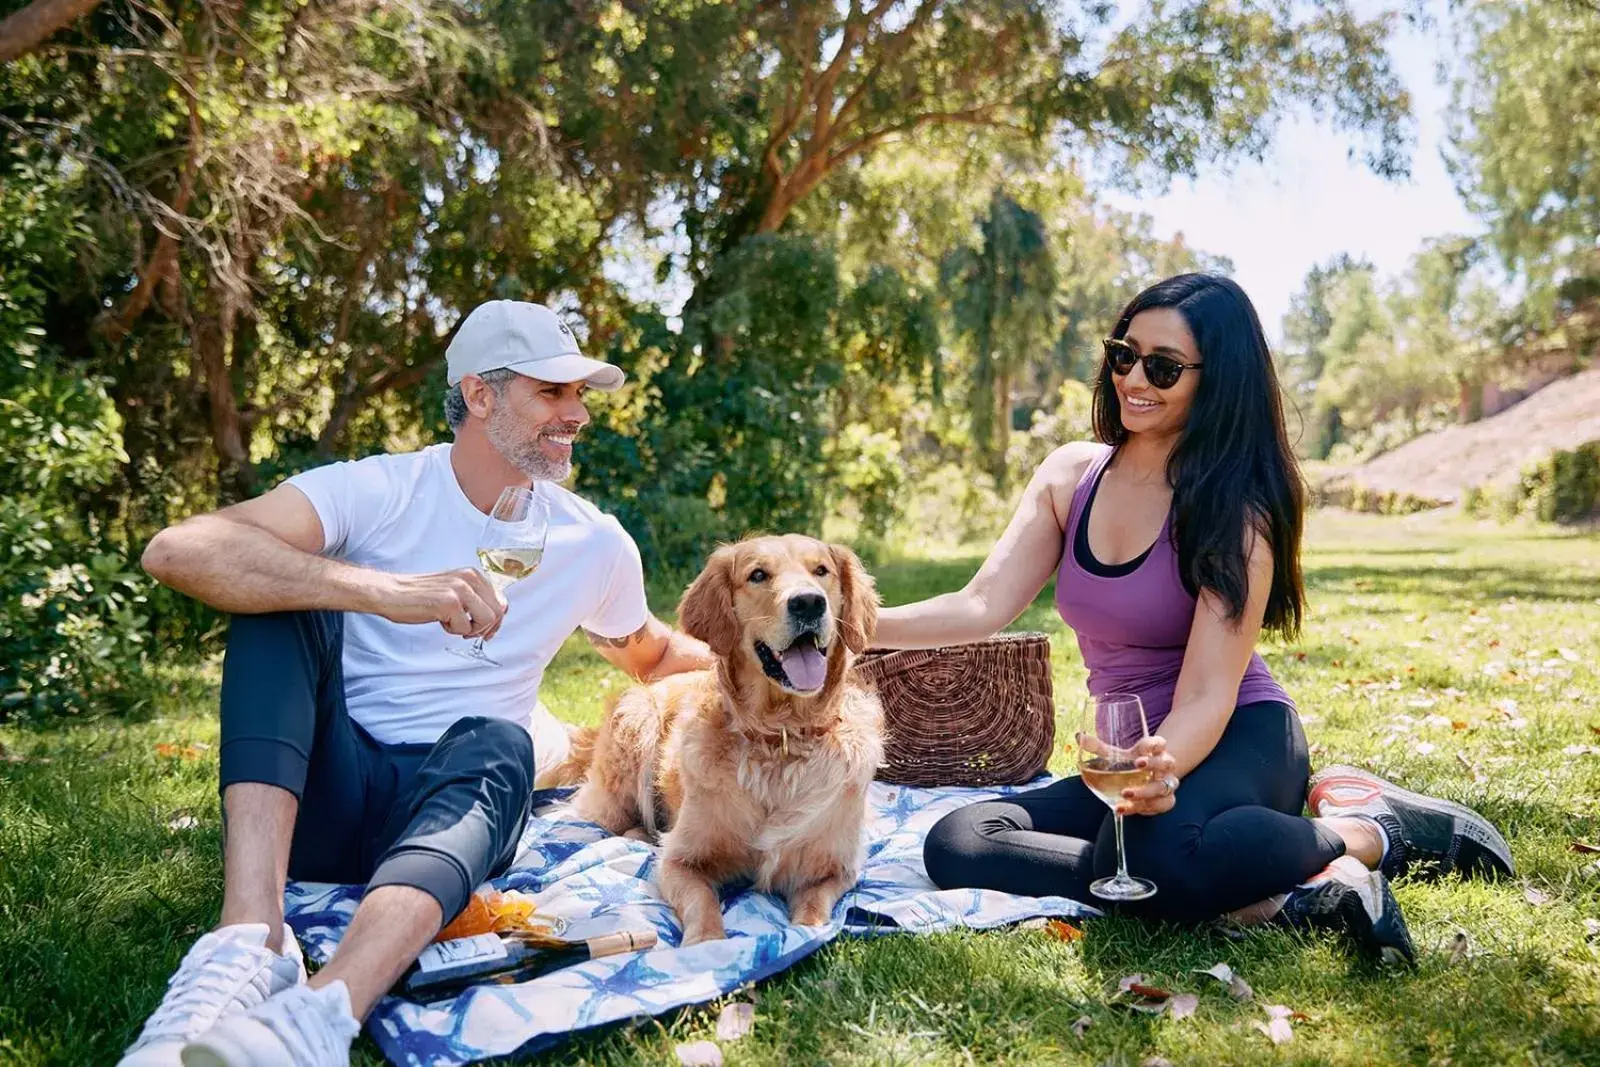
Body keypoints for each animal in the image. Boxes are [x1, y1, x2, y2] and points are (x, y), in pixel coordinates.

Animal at [563, 534, 889, 940]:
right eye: (758, 575)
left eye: (821, 571)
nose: (809, 602)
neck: (781, 737)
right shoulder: (680, 860)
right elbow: (702, 905)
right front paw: (708, 944)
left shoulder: (834, 869)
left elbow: (812, 915)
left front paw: (804, 930)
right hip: (635, 727)